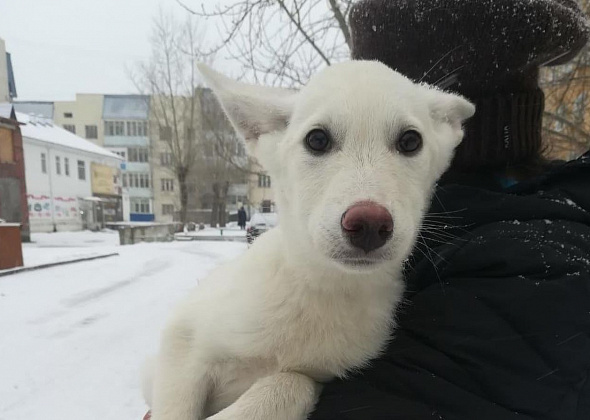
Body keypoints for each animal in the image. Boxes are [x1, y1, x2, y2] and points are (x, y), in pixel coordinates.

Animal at [145, 60, 476, 420]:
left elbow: (292, 382)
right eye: (317, 139)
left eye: (410, 141)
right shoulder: (181, 339)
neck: (319, 286)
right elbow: (174, 407)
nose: (369, 223)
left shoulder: (320, 375)